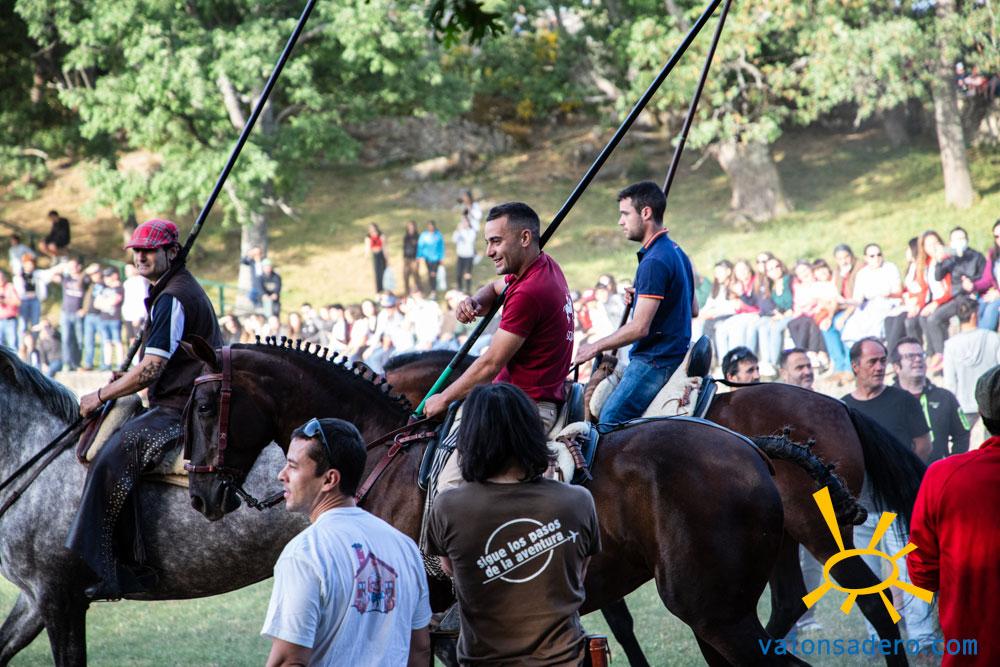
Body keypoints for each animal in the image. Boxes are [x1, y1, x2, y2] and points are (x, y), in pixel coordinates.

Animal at [182, 338, 810, 665]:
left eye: (205, 406)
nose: (201, 494)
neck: (386, 452)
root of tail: (752, 450)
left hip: (714, 612)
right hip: (716, 618)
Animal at [385, 352, 927, 667]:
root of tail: (838, 405)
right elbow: (616, 625)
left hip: (817, 531)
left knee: (872, 603)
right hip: (784, 541)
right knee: (789, 602)